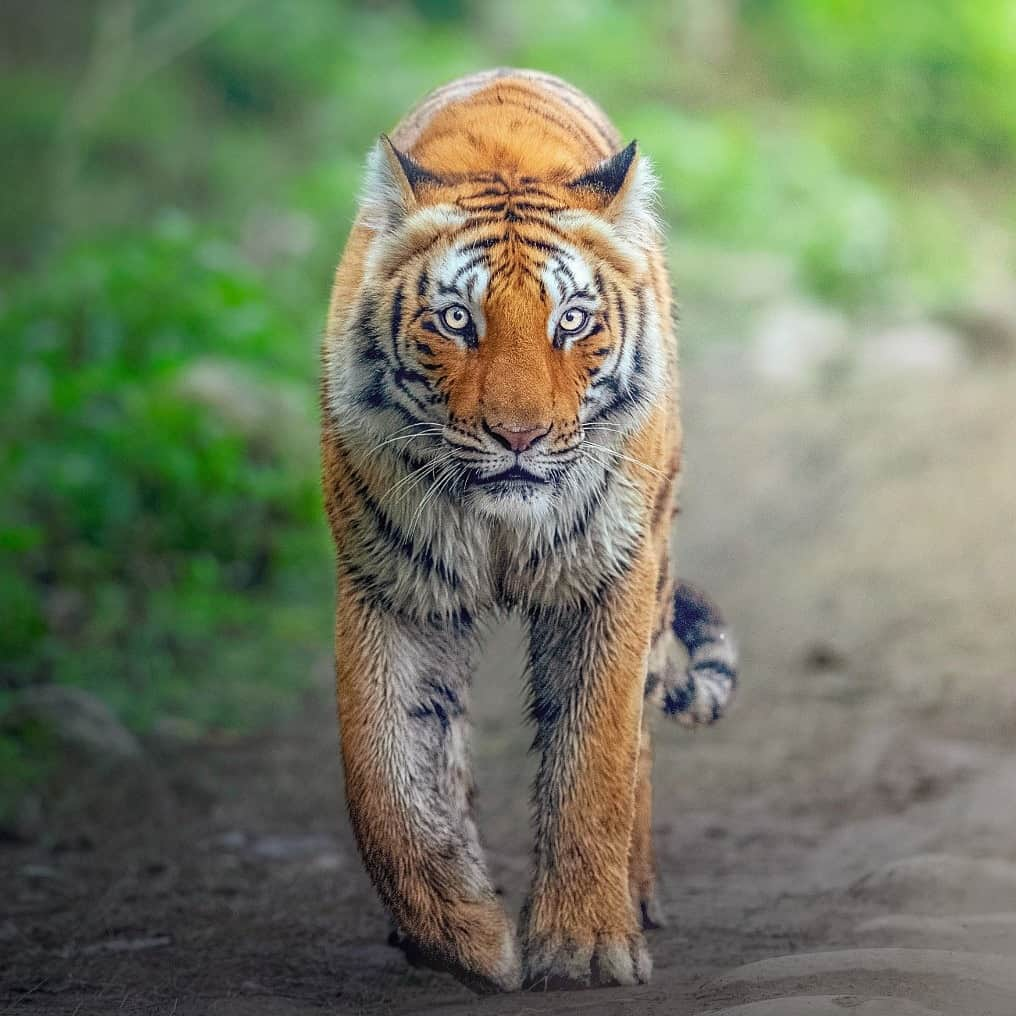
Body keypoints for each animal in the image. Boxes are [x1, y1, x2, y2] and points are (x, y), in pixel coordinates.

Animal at [321, 69, 735, 991]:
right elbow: (386, 782)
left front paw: (584, 947)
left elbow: (595, 765)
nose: (519, 437)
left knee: (640, 750)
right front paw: (462, 941)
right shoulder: (394, 589)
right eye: (456, 321)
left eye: (571, 320)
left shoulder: (608, 580)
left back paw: (638, 895)